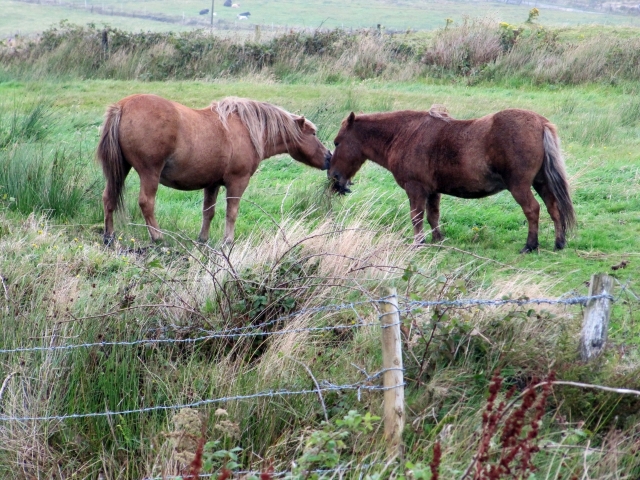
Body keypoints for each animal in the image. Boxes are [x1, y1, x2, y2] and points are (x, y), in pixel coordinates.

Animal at [99, 94, 336, 244]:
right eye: (313, 133)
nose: (329, 157)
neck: (245, 129)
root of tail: (123, 106)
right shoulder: (237, 182)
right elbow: (232, 212)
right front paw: (228, 240)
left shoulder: (211, 184)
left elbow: (208, 212)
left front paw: (203, 239)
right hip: (150, 173)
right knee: (146, 203)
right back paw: (157, 237)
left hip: (119, 170)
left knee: (108, 197)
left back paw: (109, 236)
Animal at [330, 106, 576, 253]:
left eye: (337, 142)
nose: (333, 176)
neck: (406, 134)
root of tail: (540, 122)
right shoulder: (432, 191)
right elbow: (433, 216)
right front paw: (438, 239)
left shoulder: (415, 189)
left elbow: (416, 217)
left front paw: (419, 243)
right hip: (541, 182)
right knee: (553, 208)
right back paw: (559, 242)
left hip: (520, 186)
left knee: (533, 210)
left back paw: (530, 245)